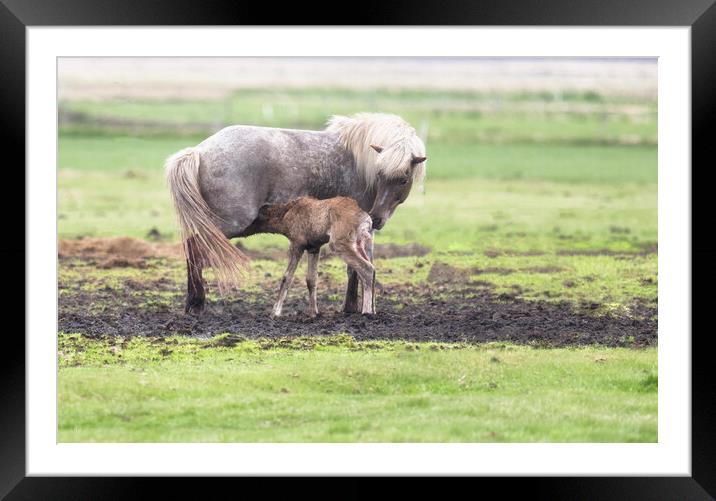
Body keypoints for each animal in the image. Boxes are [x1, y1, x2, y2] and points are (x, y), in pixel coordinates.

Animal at [164, 112, 426, 314]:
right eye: (381, 174)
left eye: (403, 179)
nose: (377, 218)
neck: (359, 163)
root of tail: (199, 151)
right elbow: (357, 267)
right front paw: (352, 307)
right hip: (227, 225)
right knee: (195, 249)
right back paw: (197, 303)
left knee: (191, 249)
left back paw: (192, 304)